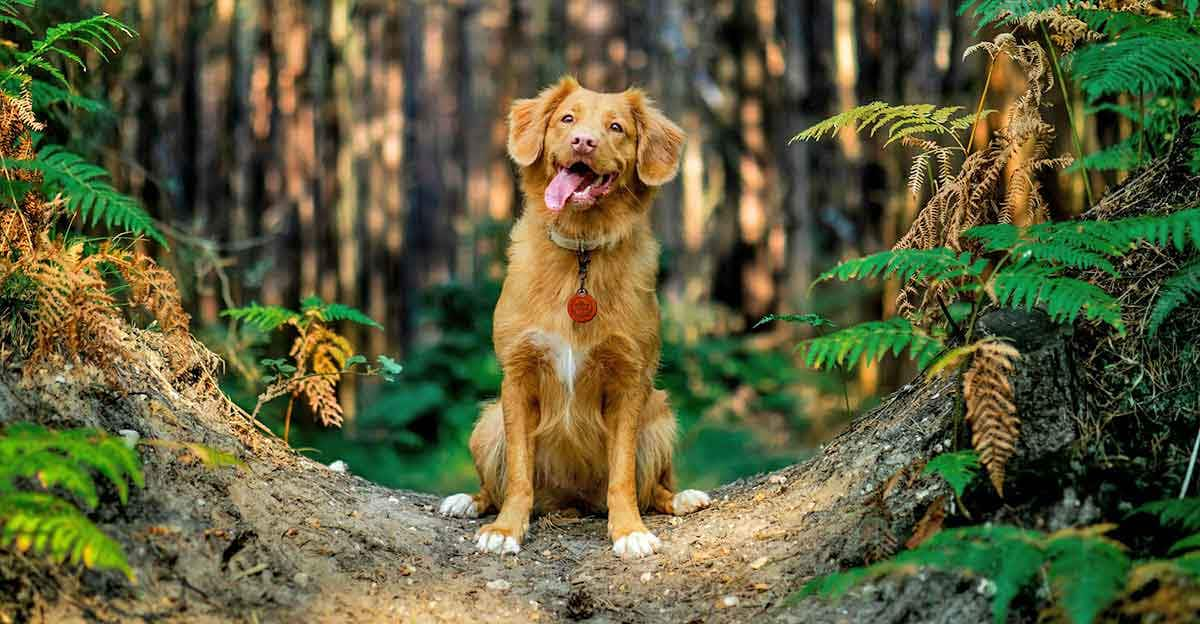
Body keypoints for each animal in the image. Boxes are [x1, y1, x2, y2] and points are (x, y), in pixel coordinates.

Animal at [439, 75, 700, 559]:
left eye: (616, 127)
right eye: (566, 119)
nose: (583, 141)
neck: (581, 250)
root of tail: (571, 502)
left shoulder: (629, 382)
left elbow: (623, 476)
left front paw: (628, 530)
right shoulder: (518, 378)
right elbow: (518, 474)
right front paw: (506, 529)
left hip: (660, 417)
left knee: (655, 488)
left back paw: (681, 497)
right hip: (488, 422)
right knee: (493, 486)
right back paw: (469, 501)